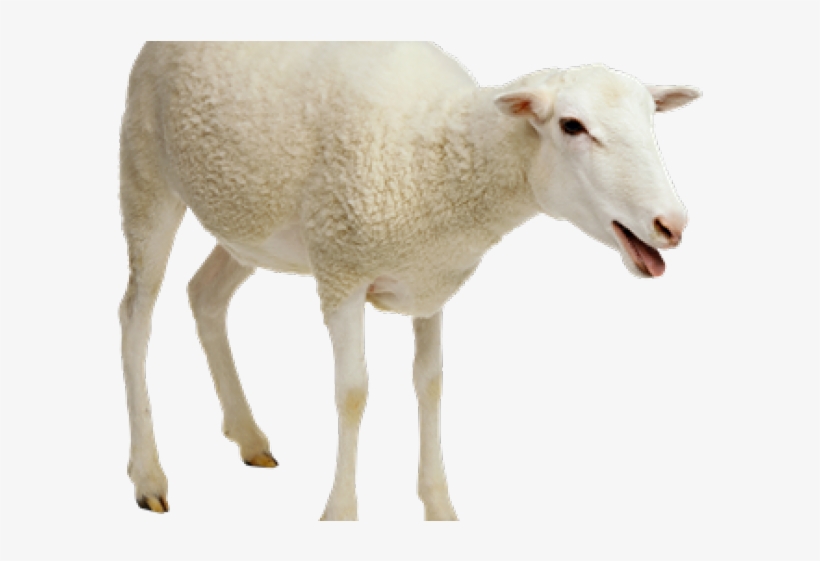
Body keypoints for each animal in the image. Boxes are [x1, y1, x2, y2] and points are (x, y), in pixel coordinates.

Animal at [119, 41, 700, 520]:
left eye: (651, 120)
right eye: (572, 126)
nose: (671, 224)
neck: (440, 154)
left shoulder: (430, 279)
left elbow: (431, 383)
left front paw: (439, 506)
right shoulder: (342, 270)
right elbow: (353, 393)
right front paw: (341, 513)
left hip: (249, 223)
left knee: (204, 295)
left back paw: (247, 436)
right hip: (146, 174)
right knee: (136, 316)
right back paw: (148, 475)